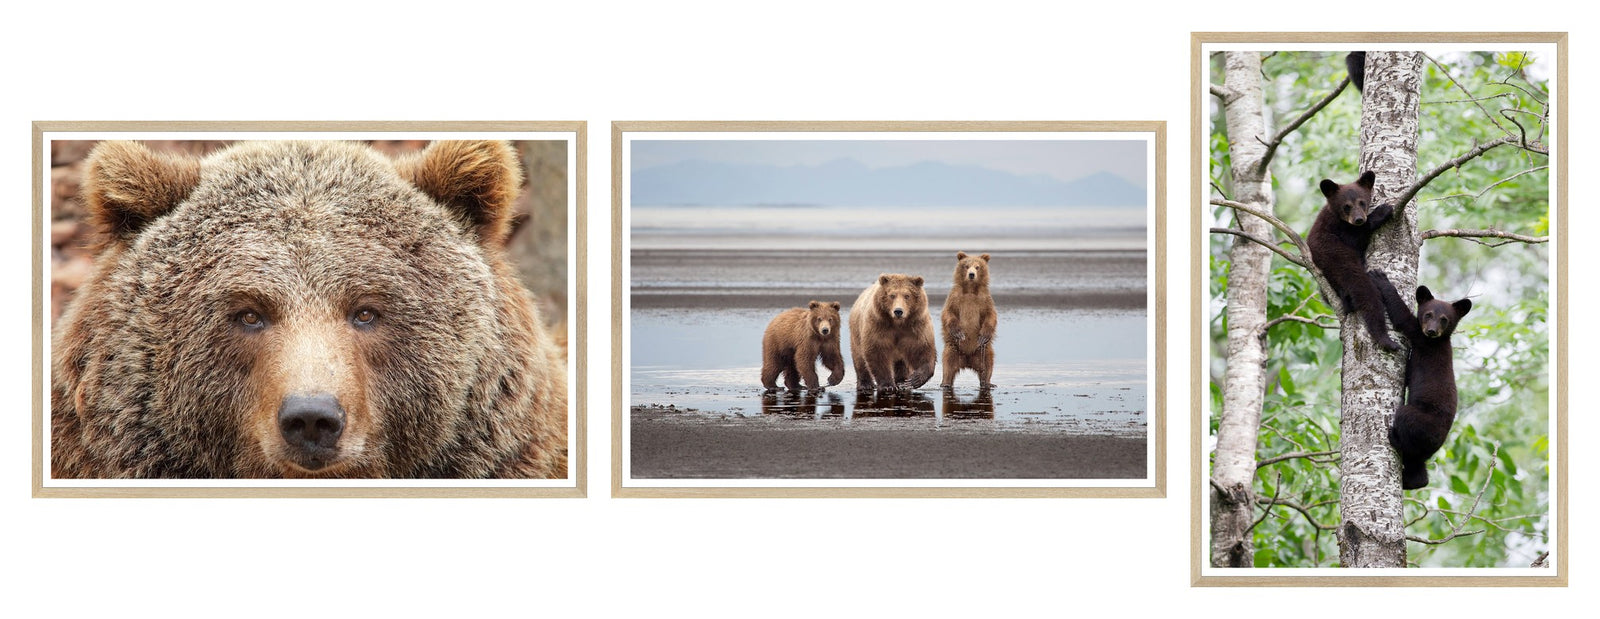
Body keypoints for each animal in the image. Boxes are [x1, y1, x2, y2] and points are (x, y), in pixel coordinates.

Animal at [940, 251, 997, 388]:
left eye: (977, 267)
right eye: (966, 266)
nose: (971, 274)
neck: (970, 290)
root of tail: (967, 360)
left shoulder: (985, 299)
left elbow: (990, 315)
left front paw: (984, 335)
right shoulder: (955, 298)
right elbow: (948, 313)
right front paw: (958, 332)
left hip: (982, 351)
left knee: (988, 363)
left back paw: (988, 383)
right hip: (953, 348)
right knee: (948, 364)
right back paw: (945, 383)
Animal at [1307, 170, 1400, 352]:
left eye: (1362, 202)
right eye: (1347, 206)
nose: (1359, 219)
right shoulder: (1336, 231)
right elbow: (1354, 238)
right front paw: (1382, 211)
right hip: (1339, 262)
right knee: (1366, 293)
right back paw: (1386, 340)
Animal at [1371, 271, 1472, 490]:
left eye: (1444, 319)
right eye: (1428, 314)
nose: (1432, 331)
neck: (1439, 341)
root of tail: (1436, 442)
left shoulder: (1421, 338)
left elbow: (1403, 318)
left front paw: (1382, 279)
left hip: (1418, 421)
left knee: (1406, 428)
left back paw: (1394, 439)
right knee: (1417, 465)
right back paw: (1414, 481)